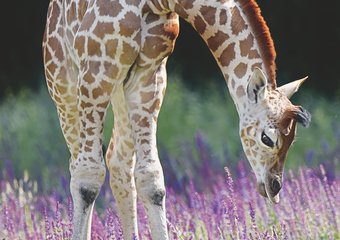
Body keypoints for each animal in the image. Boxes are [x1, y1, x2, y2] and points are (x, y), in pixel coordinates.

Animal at [42, 0, 310, 238]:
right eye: (267, 138)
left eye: (293, 140)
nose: (274, 187)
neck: (159, 2)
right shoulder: (97, 71)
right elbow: (87, 179)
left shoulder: (150, 77)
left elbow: (151, 179)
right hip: (63, 81)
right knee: (79, 165)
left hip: (120, 90)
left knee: (118, 162)